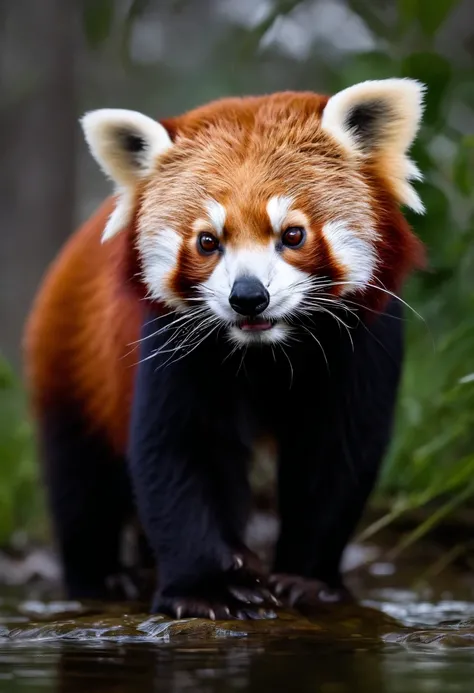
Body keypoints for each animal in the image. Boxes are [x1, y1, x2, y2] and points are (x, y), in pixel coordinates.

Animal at [24, 79, 426, 616]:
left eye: (292, 234)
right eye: (207, 241)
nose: (248, 296)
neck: (268, 350)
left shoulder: (362, 340)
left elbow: (335, 454)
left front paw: (306, 580)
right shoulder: (171, 341)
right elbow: (183, 450)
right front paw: (208, 588)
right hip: (71, 361)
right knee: (80, 478)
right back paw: (101, 579)